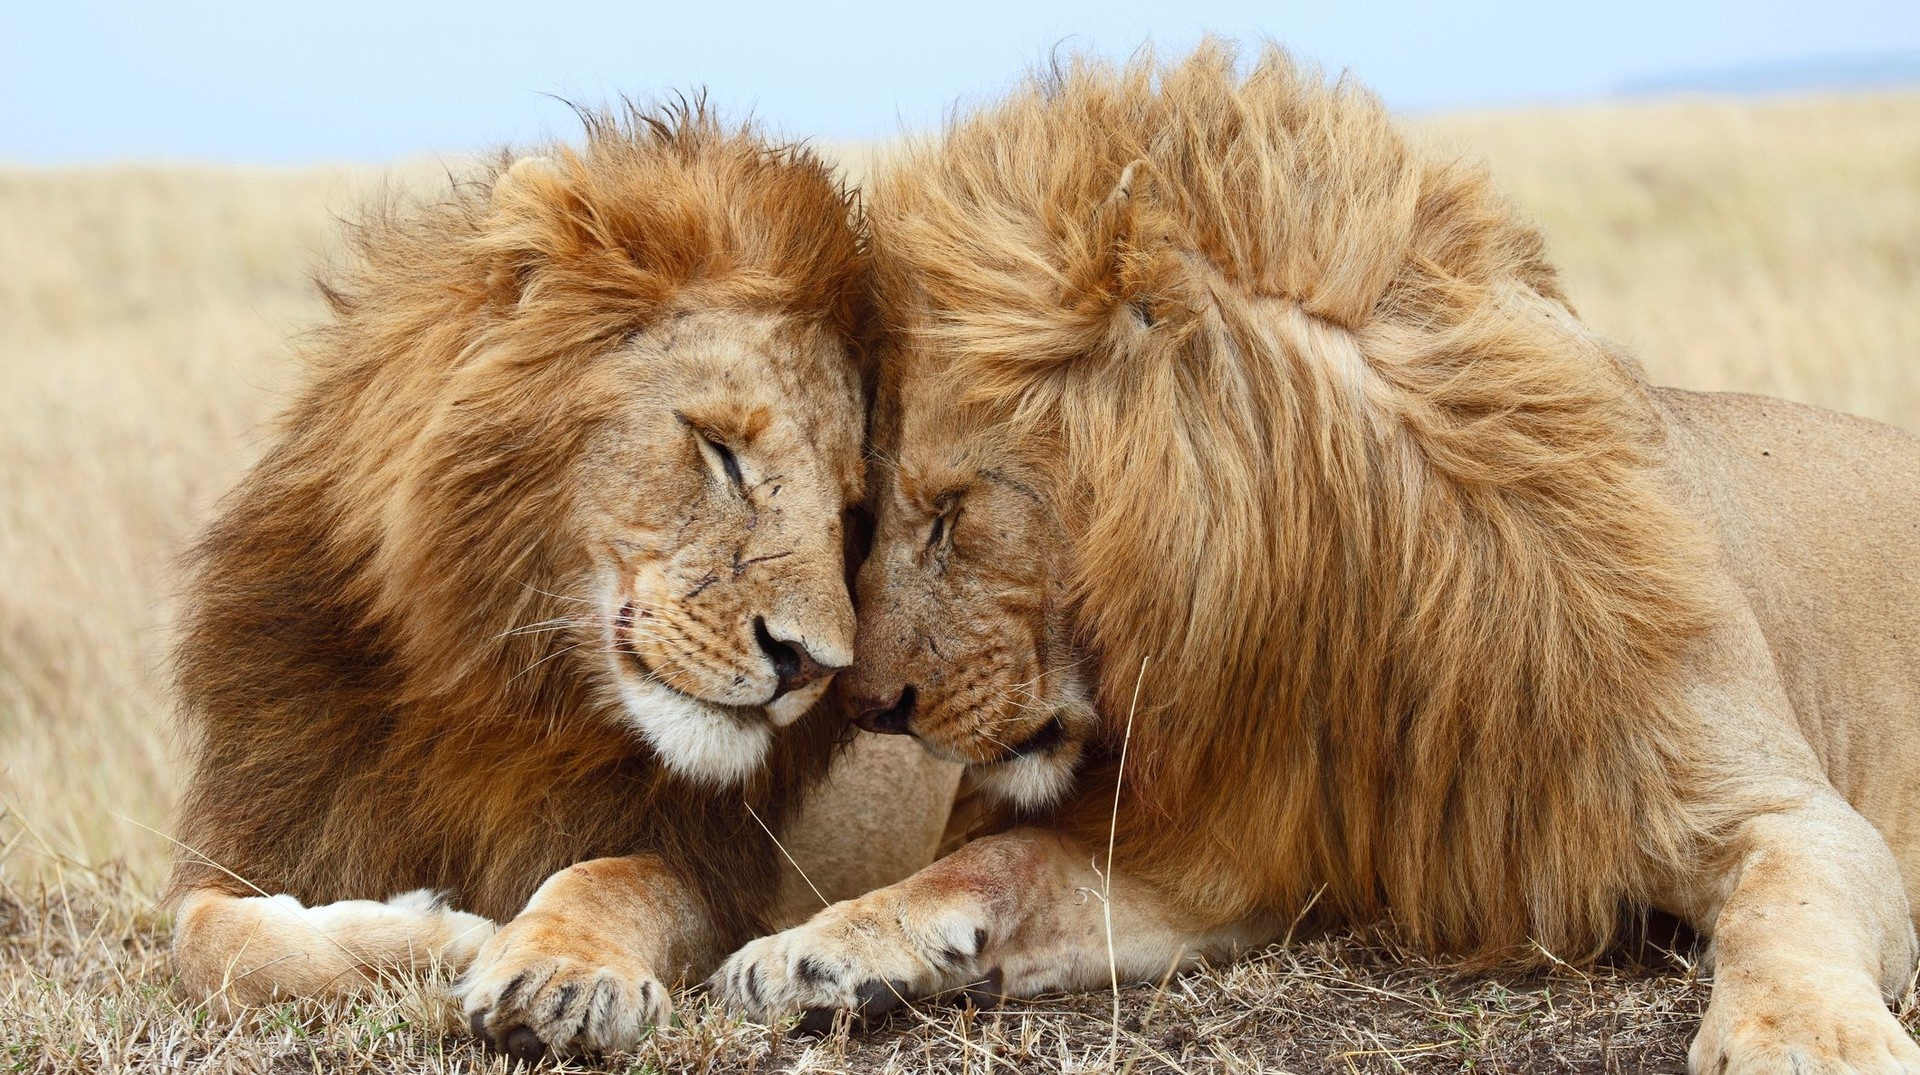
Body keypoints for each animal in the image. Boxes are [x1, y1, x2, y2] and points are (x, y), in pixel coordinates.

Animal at [166, 104, 958, 1061]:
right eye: (720, 450)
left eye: (849, 512)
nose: (811, 663)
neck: (497, 686)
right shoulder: (266, 825)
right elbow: (207, 938)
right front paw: (437, 934)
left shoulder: (715, 867)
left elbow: (610, 878)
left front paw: (554, 970)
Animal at [713, 45, 1920, 1072]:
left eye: (952, 512)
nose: (867, 705)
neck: (1350, 596)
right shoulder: (1232, 851)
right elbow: (1000, 861)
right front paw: (814, 948)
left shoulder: (1780, 807)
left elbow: (1783, 914)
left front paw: (1803, 1043)